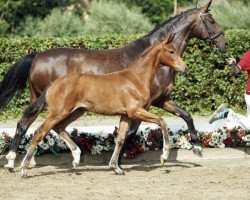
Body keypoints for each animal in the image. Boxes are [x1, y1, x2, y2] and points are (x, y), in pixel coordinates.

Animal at [20, 36, 188, 178]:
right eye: (171, 51)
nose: (185, 68)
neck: (136, 78)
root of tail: (53, 84)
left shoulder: (126, 115)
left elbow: (120, 138)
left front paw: (116, 167)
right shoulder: (136, 111)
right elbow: (162, 121)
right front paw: (164, 156)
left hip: (76, 111)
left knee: (59, 127)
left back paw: (76, 157)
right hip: (59, 112)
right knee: (39, 132)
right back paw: (24, 170)